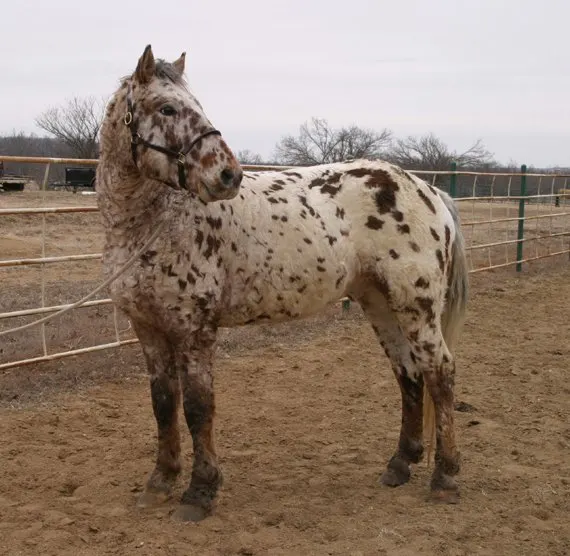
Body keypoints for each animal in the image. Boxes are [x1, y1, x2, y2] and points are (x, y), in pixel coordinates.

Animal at [96, 44, 466, 520]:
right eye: (167, 107)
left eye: (197, 105)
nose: (228, 175)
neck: (156, 224)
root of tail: (428, 190)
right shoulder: (148, 329)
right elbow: (163, 405)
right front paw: (160, 482)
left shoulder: (194, 330)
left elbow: (198, 407)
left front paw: (200, 491)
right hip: (380, 303)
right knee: (408, 372)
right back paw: (400, 464)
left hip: (416, 307)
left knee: (440, 373)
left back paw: (445, 478)